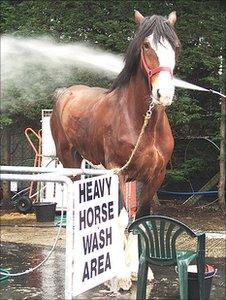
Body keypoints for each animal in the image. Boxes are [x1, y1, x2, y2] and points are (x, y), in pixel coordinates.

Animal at [50, 10, 181, 292]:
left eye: (175, 46)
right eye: (146, 45)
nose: (163, 94)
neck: (140, 121)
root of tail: (66, 93)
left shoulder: (154, 176)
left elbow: (139, 219)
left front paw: (138, 271)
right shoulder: (117, 172)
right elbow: (121, 219)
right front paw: (120, 275)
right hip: (70, 162)